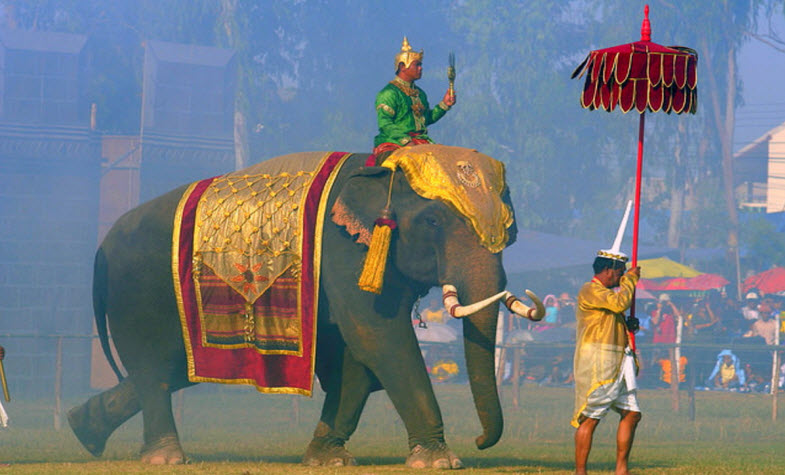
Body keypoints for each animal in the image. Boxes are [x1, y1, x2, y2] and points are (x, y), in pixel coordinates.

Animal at [67, 144, 540, 468]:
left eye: (511, 230)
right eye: (432, 221)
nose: (480, 442)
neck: (382, 168)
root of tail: (101, 249)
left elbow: (355, 357)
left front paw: (326, 459)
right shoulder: (344, 250)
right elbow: (377, 336)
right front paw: (439, 461)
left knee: (171, 368)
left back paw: (83, 427)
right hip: (135, 292)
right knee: (153, 367)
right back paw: (163, 458)